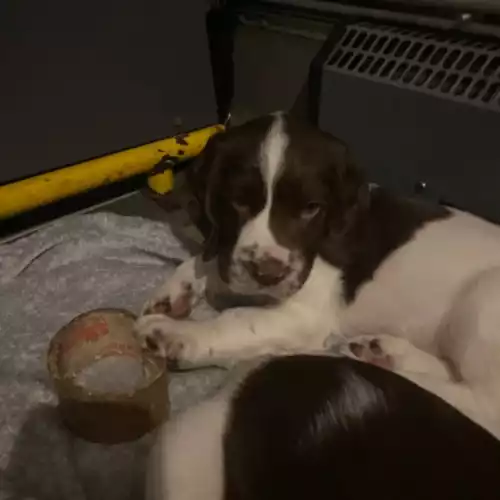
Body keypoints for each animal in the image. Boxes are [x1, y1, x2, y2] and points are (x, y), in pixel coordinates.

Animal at [136, 112, 500, 438]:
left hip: (483, 299)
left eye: (312, 208)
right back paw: (385, 354)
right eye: (237, 202)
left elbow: (236, 319)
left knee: (483, 406)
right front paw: (174, 292)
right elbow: (211, 259)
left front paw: (174, 334)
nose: (268, 274)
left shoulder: (304, 312)